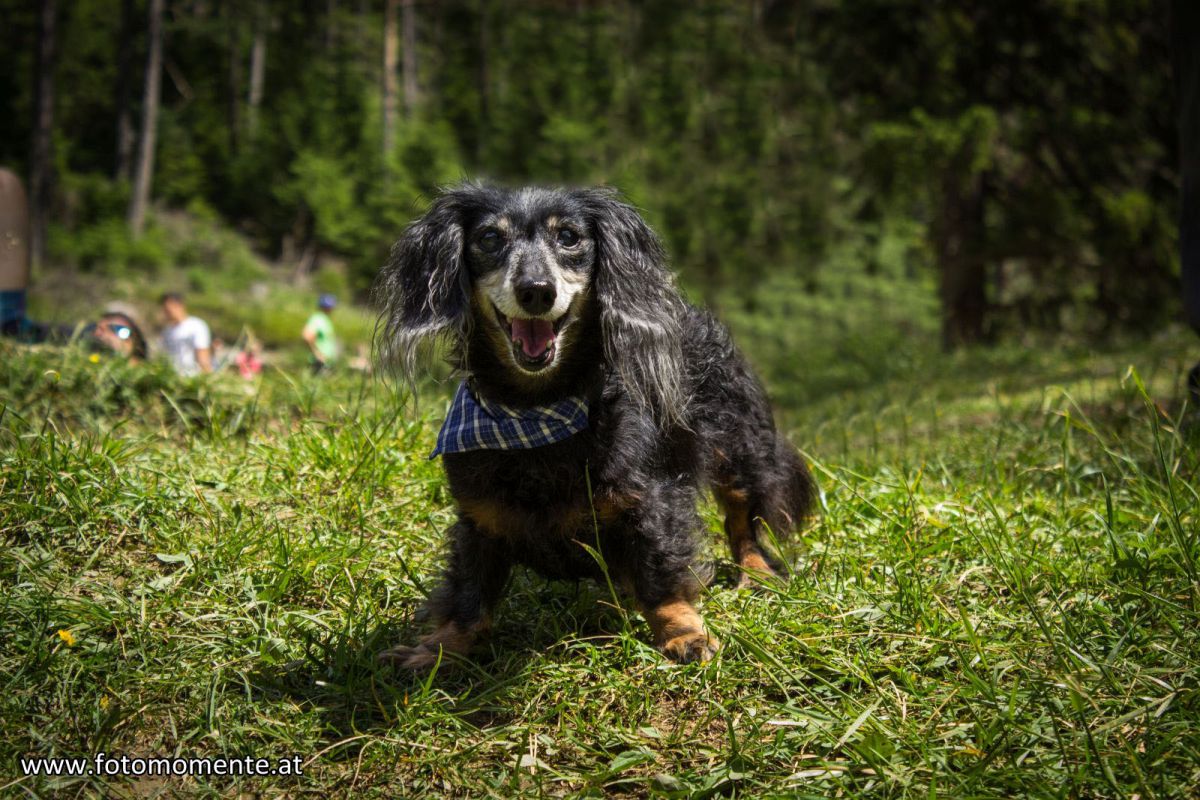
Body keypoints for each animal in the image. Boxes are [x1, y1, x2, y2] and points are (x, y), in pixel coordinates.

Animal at [374, 184, 816, 666]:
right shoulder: (478, 519)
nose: (536, 291)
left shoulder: (651, 502)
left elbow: (660, 574)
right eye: (489, 239)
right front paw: (436, 650)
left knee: (743, 519)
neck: (537, 414)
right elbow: (470, 595)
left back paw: (756, 572)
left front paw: (683, 633)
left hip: (739, 450)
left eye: (568, 236)